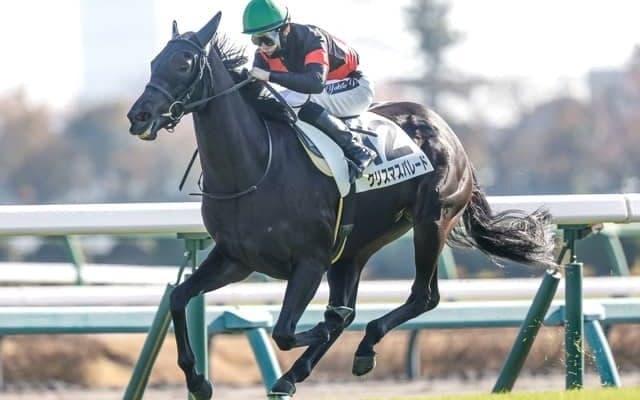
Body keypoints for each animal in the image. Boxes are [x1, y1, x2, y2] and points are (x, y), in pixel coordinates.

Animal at [127, 12, 556, 399]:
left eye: (184, 63)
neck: (254, 167)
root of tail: (446, 129)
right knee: (362, 301)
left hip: (431, 221)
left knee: (423, 296)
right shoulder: (236, 258)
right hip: (355, 249)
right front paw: (198, 381)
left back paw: (360, 346)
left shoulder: (309, 261)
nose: (138, 116)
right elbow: (179, 298)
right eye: (153, 62)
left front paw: (323, 328)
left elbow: (286, 332)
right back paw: (297, 373)